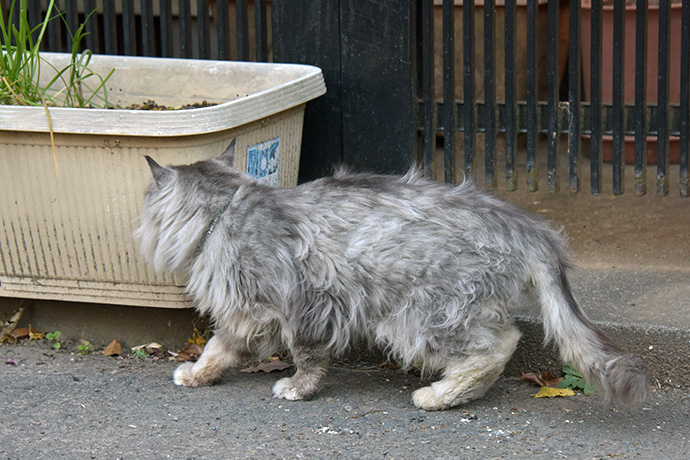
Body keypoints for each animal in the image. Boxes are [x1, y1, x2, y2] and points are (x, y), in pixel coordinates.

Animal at [136, 141, 644, 410]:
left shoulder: (297, 306)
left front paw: (297, 388)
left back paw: (439, 395)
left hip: (421, 313)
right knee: (500, 343)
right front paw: (198, 374)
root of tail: (525, 225)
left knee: (497, 348)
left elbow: (305, 360)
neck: (225, 211)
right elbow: (217, 349)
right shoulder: (249, 314)